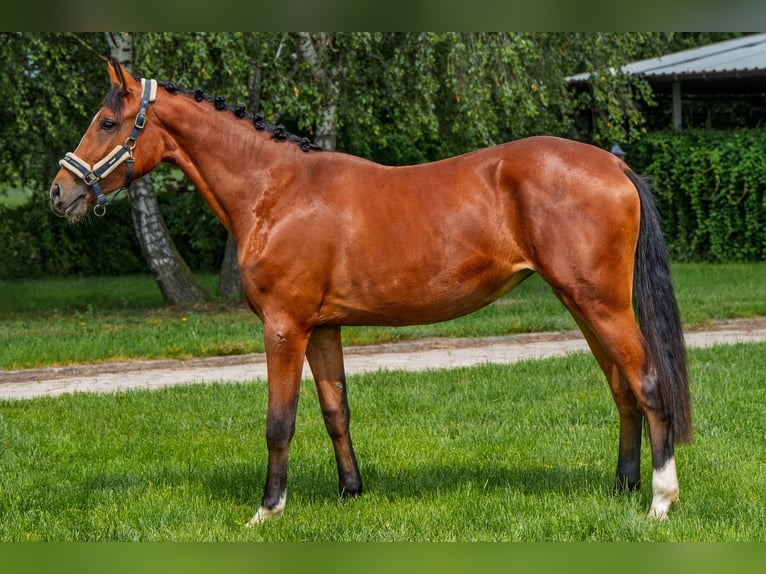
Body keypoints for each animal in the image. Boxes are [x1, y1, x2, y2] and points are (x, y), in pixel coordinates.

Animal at [50, 58, 691, 524]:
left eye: (107, 122)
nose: (60, 192)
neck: (274, 190)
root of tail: (614, 166)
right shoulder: (322, 328)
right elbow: (336, 410)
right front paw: (351, 493)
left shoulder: (284, 326)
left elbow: (279, 420)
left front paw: (267, 510)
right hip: (583, 305)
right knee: (621, 388)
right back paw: (623, 488)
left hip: (601, 304)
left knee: (647, 382)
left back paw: (660, 501)